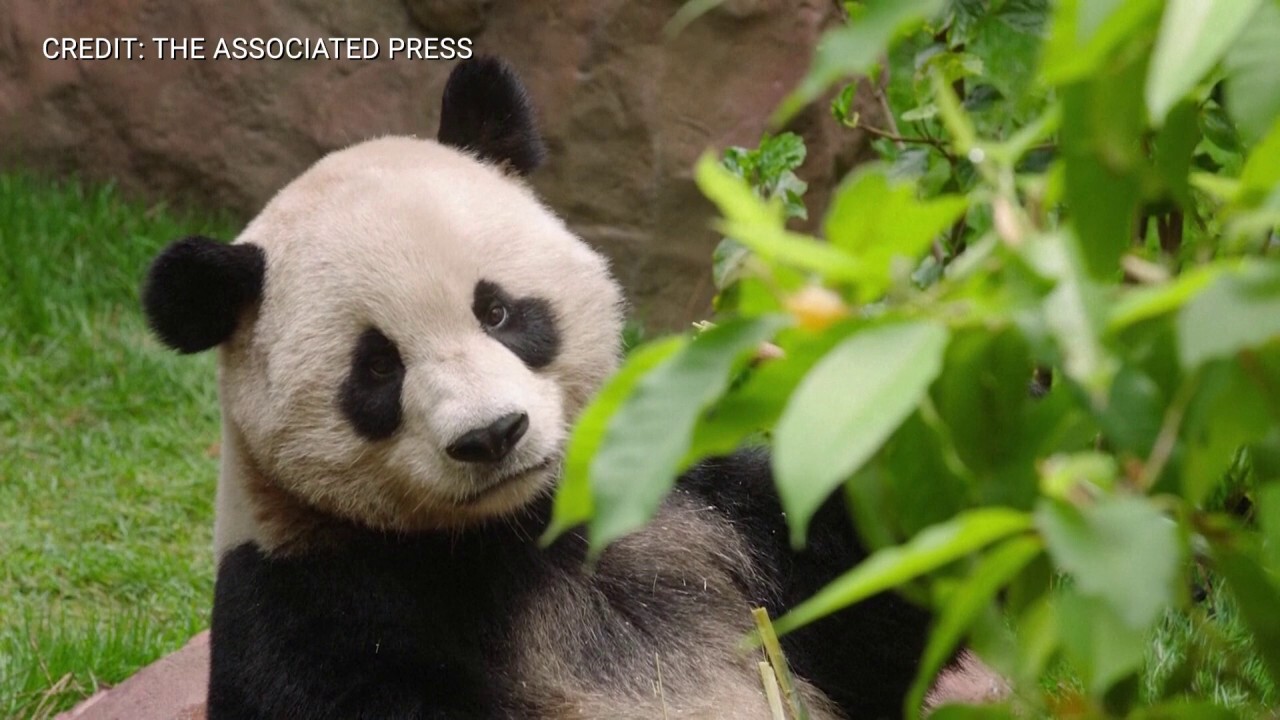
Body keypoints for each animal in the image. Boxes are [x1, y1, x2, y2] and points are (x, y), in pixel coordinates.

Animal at [142, 57, 931, 717]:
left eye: (496, 311)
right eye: (377, 368)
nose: (492, 435)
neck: (519, 526)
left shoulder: (697, 504)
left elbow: (873, 591)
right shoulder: (310, 600)